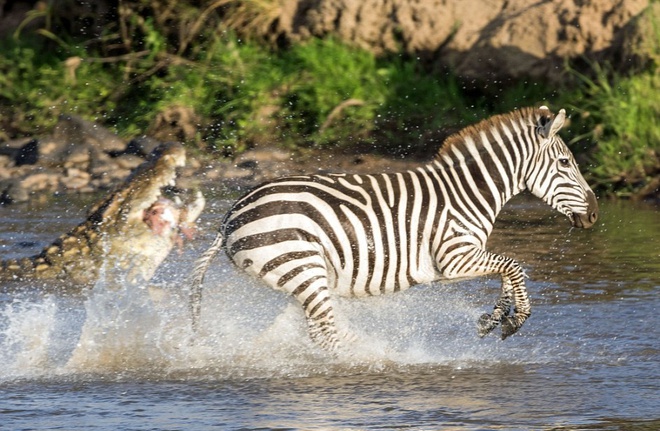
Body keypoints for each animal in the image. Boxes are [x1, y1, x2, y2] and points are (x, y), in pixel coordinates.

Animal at [189, 106, 600, 352]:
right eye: (566, 163)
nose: (595, 214)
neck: (467, 192)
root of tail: (230, 215)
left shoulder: (464, 259)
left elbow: (508, 271)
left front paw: (495, 318)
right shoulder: (453, 256)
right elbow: (514, 265)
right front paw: (516, 320)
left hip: (300, 278)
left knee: (303, 331)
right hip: (302, 267)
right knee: (328, 333)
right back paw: (378, 358)